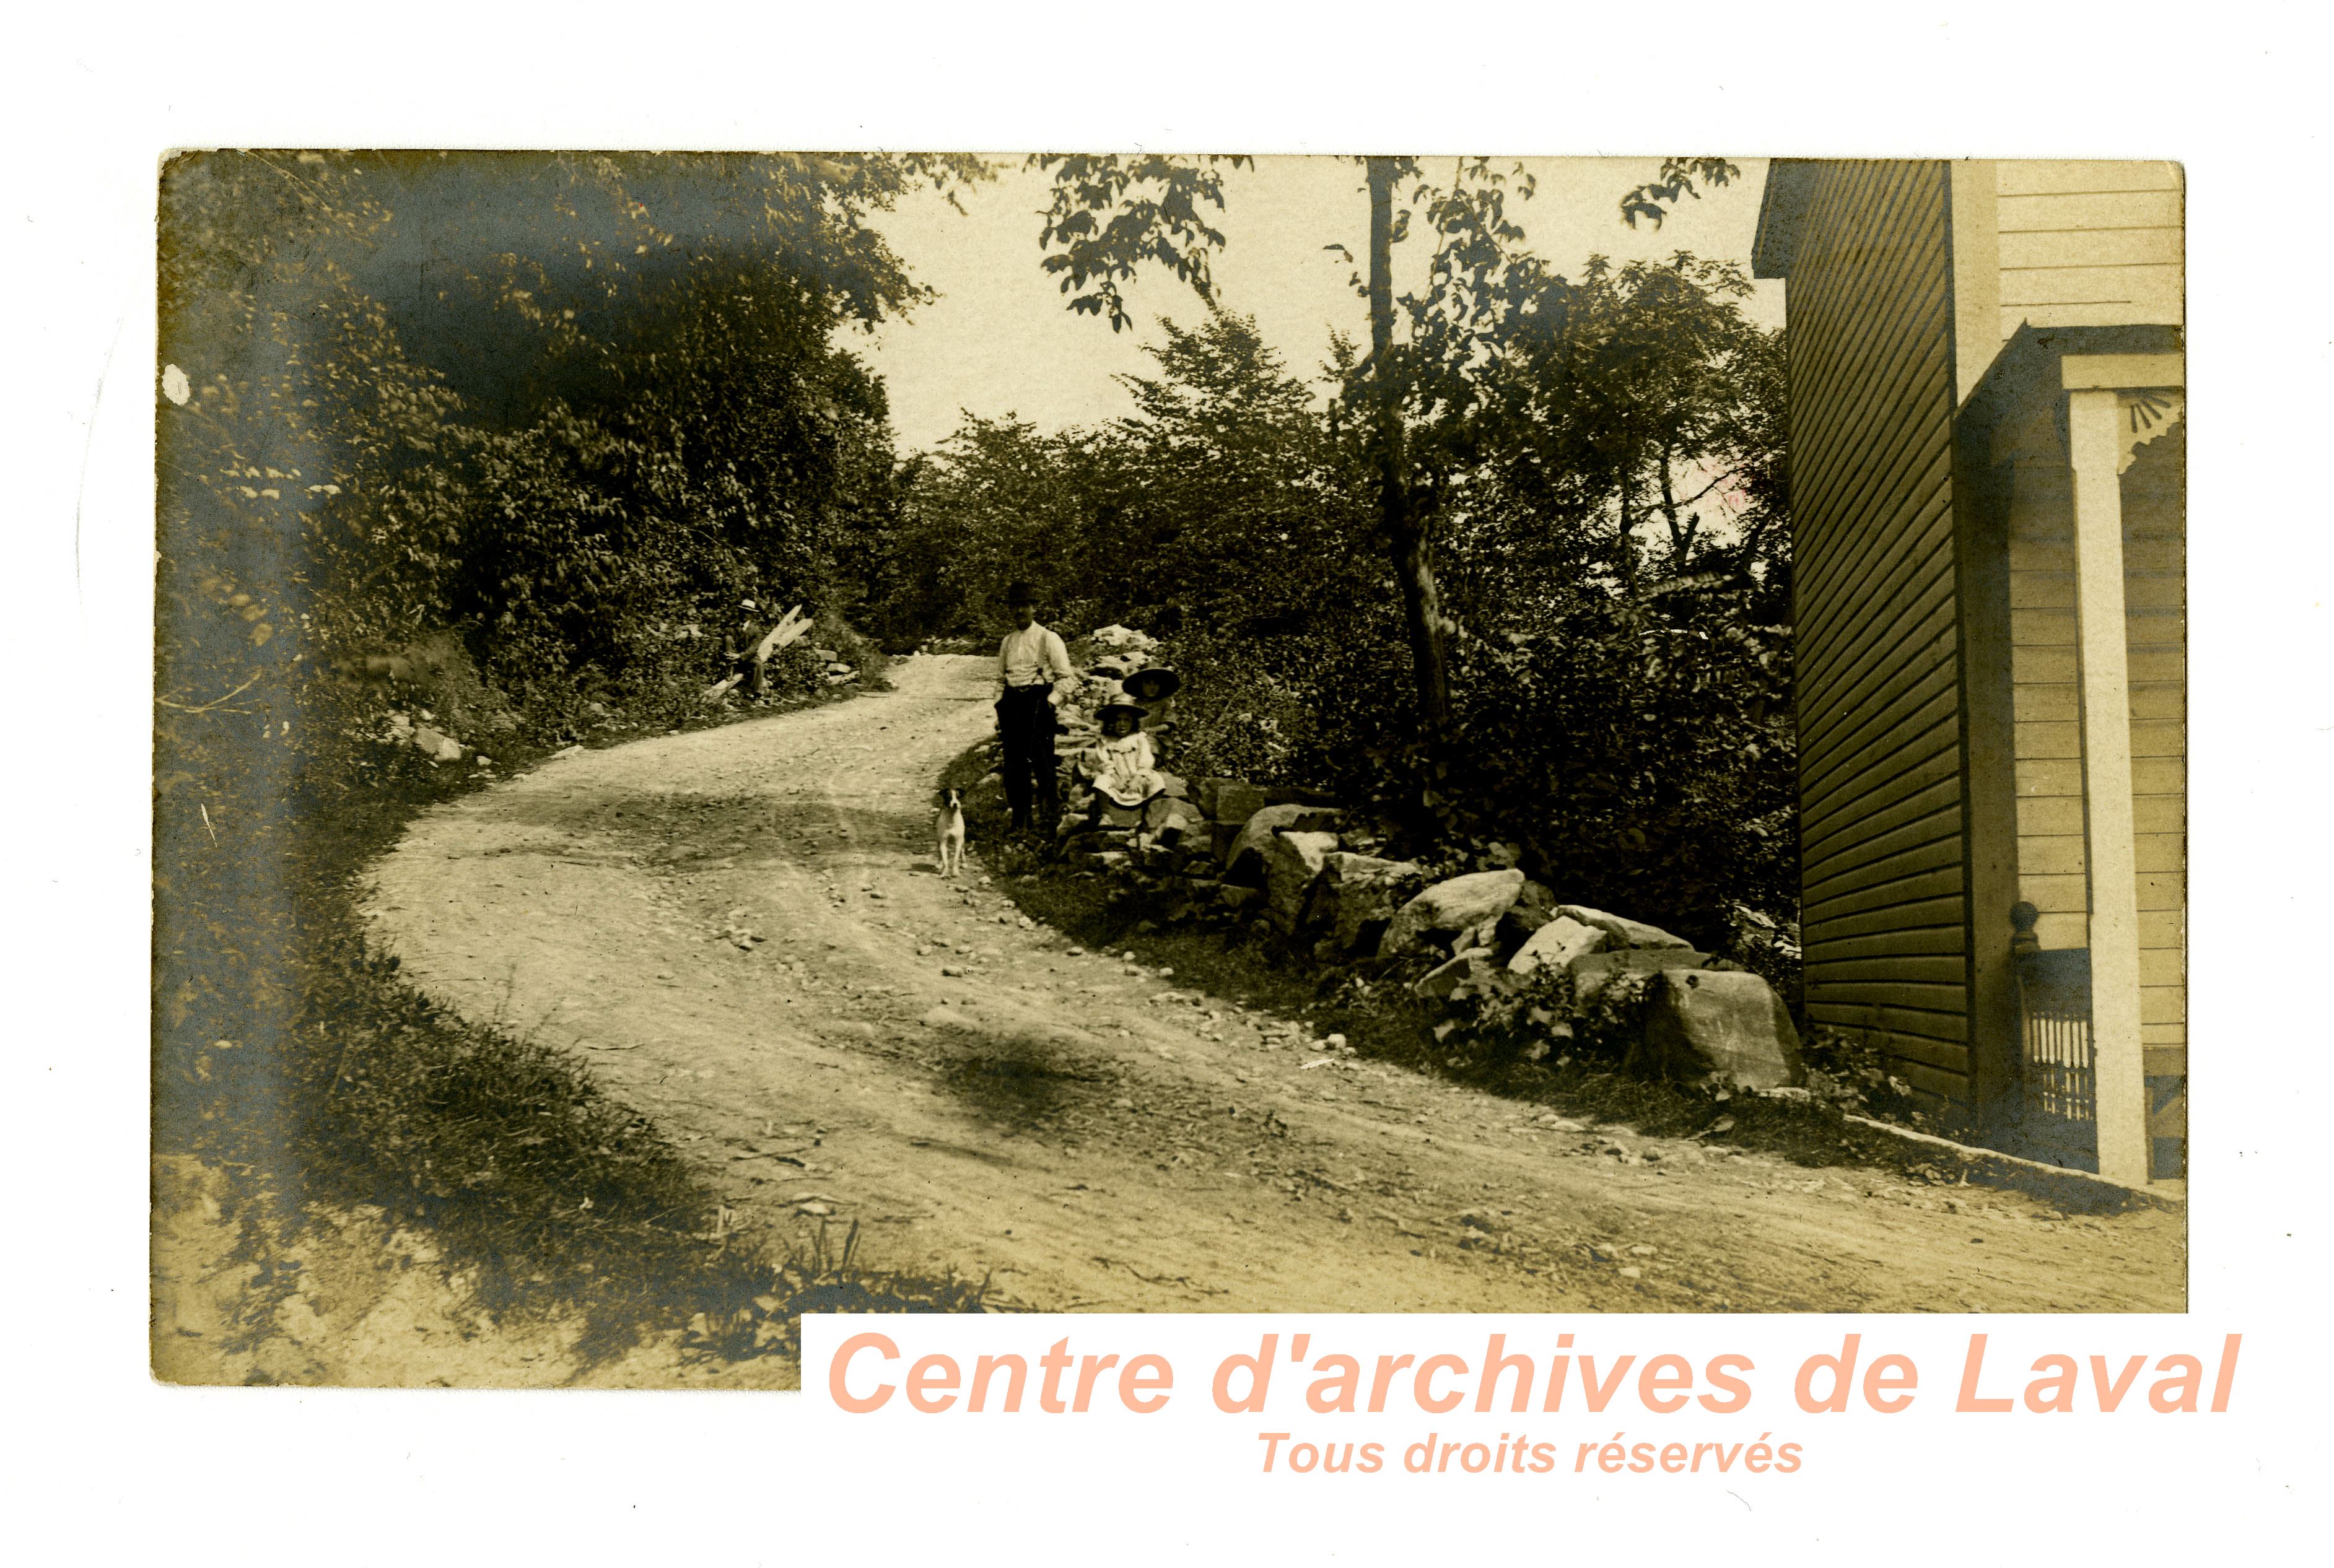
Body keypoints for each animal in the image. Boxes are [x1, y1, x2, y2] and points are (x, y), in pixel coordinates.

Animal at [929, 788, 966, 877]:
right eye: (949, 797)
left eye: (959, 797)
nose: (955, 804)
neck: (951, 820)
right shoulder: (943, 842)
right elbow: (945, 860)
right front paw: (945, 872)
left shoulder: (958, 842)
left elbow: (956, 859)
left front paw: (955, 872)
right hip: (938, 840)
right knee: (940, 854)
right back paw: (939, 864)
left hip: (963, 840)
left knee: (963, 850)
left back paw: (964, 862)